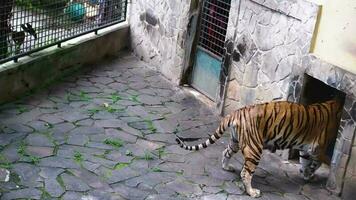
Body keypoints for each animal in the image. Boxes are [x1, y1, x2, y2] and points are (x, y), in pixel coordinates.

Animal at [175, 101, 342, 198]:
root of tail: (235, 113)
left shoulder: (307, 148)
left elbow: (306, 162)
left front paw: (306, 174)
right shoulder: (318, 148)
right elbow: (316, 163)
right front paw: (311, 175)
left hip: (236, 141)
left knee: (225, 152)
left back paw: (226, 167)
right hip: (254, 148)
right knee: (245, 173)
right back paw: (252, 192)